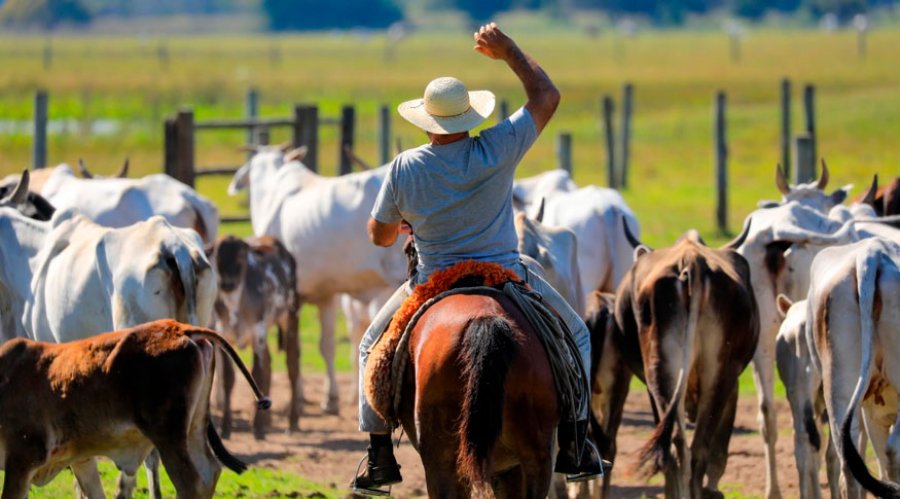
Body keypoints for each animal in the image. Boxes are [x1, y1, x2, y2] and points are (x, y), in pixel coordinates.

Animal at [0, 320, 268, 499]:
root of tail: (180, 328)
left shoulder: (22, 460)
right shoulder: (81, 460)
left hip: (169, 438)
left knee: (191, 483)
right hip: (194, 429)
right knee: (210, 471)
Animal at [206, 235, 300, 438]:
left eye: (241, 257)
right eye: (216, 257)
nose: (228, 284)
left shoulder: (258, 334)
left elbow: (257, 373)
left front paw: (257, 428)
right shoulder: (224, 335)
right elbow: (228, 378)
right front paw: (226, 427)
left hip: (290, 316)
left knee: (292, 365)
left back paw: (292, 422)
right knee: (269, 363)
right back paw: (267, 418)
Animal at [230, 146, 406, 414]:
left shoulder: (293, 298)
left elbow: (294, 348)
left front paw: (300, 397)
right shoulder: (327, 295)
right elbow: (327, 345)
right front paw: (330, 398)